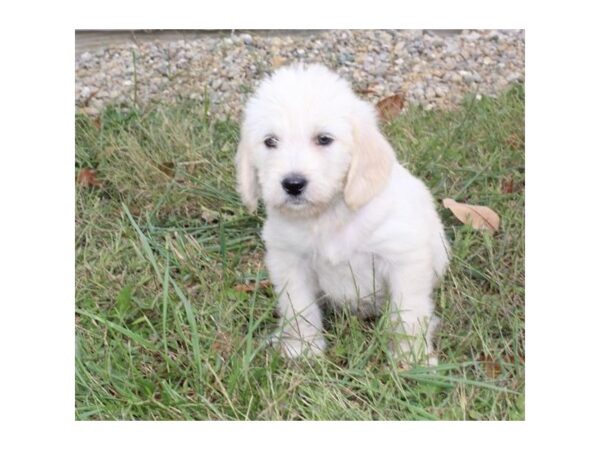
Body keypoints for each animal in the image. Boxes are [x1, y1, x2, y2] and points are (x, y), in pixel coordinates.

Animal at [237, 63, 448, 366]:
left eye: (324, 139)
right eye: (270, 141)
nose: (293, 184)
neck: (328, 215)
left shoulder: (403, 259)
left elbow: (408, 312)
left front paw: (413, 358)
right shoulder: (289, 261)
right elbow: (299, 307)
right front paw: (304, 349)